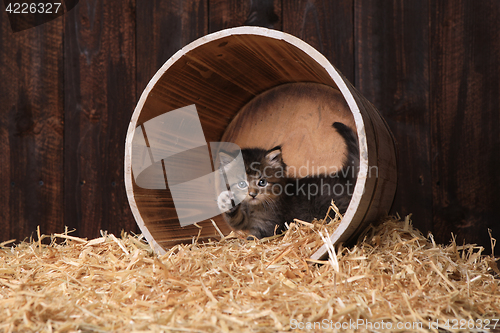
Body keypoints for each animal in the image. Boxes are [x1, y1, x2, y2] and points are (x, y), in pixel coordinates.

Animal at [217, 122, 358, 239]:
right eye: (241, 184)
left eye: (262, 182)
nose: (252, 194)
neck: (253, 207)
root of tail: (343, 177)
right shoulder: (244, 219)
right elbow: (235, 220)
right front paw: (226, 202)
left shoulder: (269, 225)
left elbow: (255, 238)